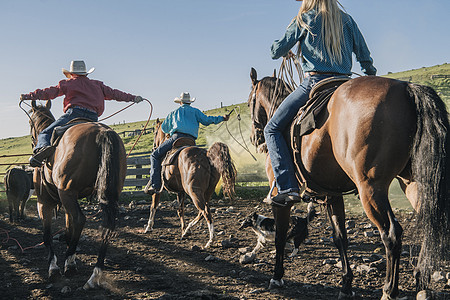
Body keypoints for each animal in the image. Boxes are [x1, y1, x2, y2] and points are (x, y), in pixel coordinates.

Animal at [28, 101, 126, 290]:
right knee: (108, 225)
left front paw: (54, 267)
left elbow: (47, 235)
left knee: (81, 219)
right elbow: (69, 228)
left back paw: (72, 265)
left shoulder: (44, 202)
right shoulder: (66, 202)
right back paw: (95, 274)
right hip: (103, 194)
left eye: (30, 123)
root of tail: (103, 132)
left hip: (66, 192)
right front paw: (71, 260)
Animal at [144, 119, 237, 248]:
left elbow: (153, 206)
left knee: (205, 211)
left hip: (194, 191)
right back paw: (188, 229)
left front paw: (149, 227)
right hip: (207, 191)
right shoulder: (180, 191)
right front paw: (184, 230)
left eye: (155, 132)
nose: (154, 147)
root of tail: (206, 155)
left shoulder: (158, 189)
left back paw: (210, 240)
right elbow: (180, 210)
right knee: (202, 211)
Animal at [248, 68, 448, 300]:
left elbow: (280, 236)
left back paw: (389, 290)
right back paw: (420, 279)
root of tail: (406, 88)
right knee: (429, 226)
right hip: (413, 184)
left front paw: (277, 276)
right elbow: (340, 237)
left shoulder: (281, 200)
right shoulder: (332, 196)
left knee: (391, 235)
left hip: (371, 188)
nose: (255, 138)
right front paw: (346, 284)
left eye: (249, 101)